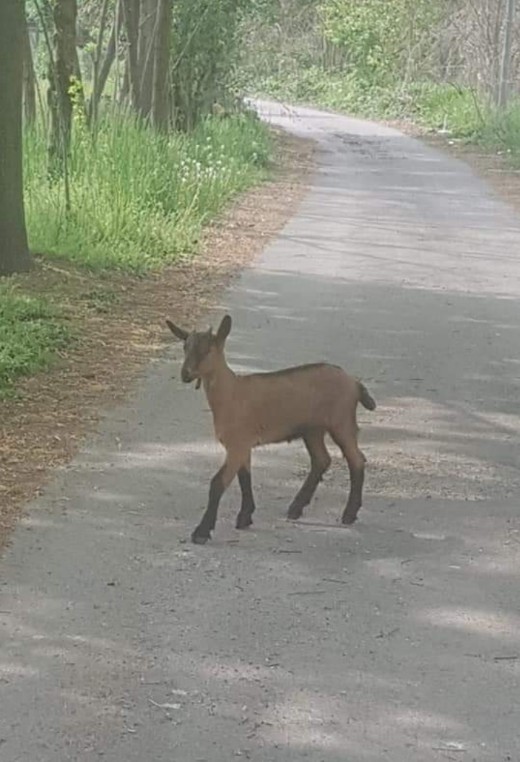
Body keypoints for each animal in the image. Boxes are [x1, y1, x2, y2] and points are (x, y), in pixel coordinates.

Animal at [167, 314, 374, 540]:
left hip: (341, 421)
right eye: (185, 347)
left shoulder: (238, 443)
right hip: (313, 429)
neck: (231, 393)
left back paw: (349, 514)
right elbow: (244, 478)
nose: (185, 374)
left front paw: (202, 532)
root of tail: (354, 383)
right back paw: (296, 508)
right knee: (321, 459)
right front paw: (245, 517)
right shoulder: (243, 445)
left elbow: (217, 483)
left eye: (207, 350)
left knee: (356, 459)